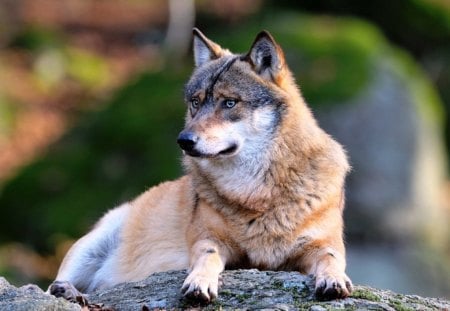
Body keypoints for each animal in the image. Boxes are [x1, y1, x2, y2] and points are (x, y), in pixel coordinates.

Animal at [48, 28, 352, 302]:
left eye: (229, 103)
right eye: (195, 102)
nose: (184, 140)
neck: (255, 192)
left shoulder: (324, 244)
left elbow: (331, 259)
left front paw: (334, 280)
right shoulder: (209, 240)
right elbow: (208, 257)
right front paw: (199, 283)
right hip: (89, 247)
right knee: (53, 286)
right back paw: (69, 292)